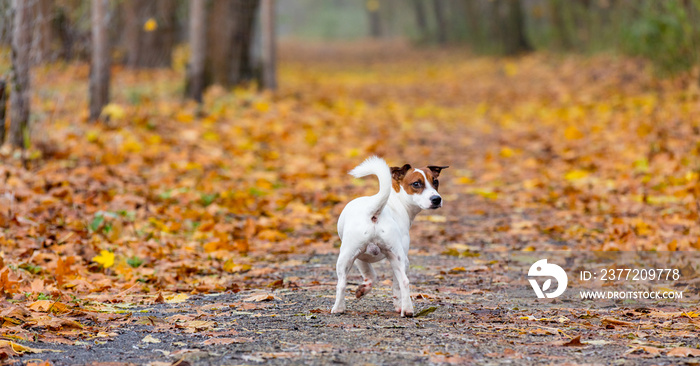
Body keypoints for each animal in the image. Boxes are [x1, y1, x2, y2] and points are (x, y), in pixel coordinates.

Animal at [332, 157, 448, 318]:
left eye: (435, 181)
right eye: (416, 184)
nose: (436, 199)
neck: (397, 201)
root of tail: (374, 212)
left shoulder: (361, 258)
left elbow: (373, 276)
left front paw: (364, 289)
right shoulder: (365, 258)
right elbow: (384, 281)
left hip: (349, 258)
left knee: (342, 283)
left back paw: (339, 308)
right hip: (392, 258)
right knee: (404, 281)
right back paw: (407, 310)